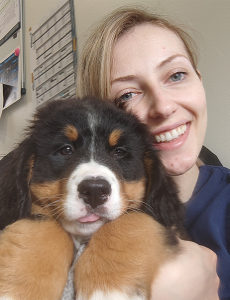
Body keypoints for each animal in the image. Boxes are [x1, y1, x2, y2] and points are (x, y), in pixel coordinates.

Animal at [0, 97, 184, 298]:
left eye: (119, 152)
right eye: (66, 150)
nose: (95, 191)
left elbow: (129, 222)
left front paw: (107, 289)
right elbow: (39, 228)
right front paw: (19, 291)